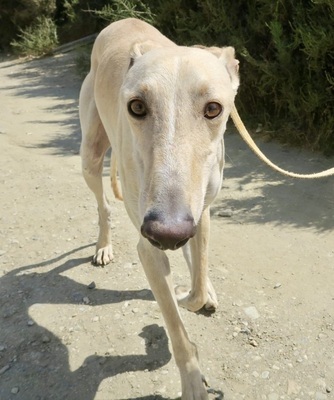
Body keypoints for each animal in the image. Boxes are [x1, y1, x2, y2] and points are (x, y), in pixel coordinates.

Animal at [79, 17, 334, 398]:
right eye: (136, 106)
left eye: (214, 108)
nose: (167, 232)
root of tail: (121, 21)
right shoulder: (148, 245)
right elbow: (175, 323)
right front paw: (191, 380)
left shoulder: (200, 212)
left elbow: (196, 287)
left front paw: (192, 293)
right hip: (91, 155)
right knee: (104, 205)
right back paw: (104, 246)